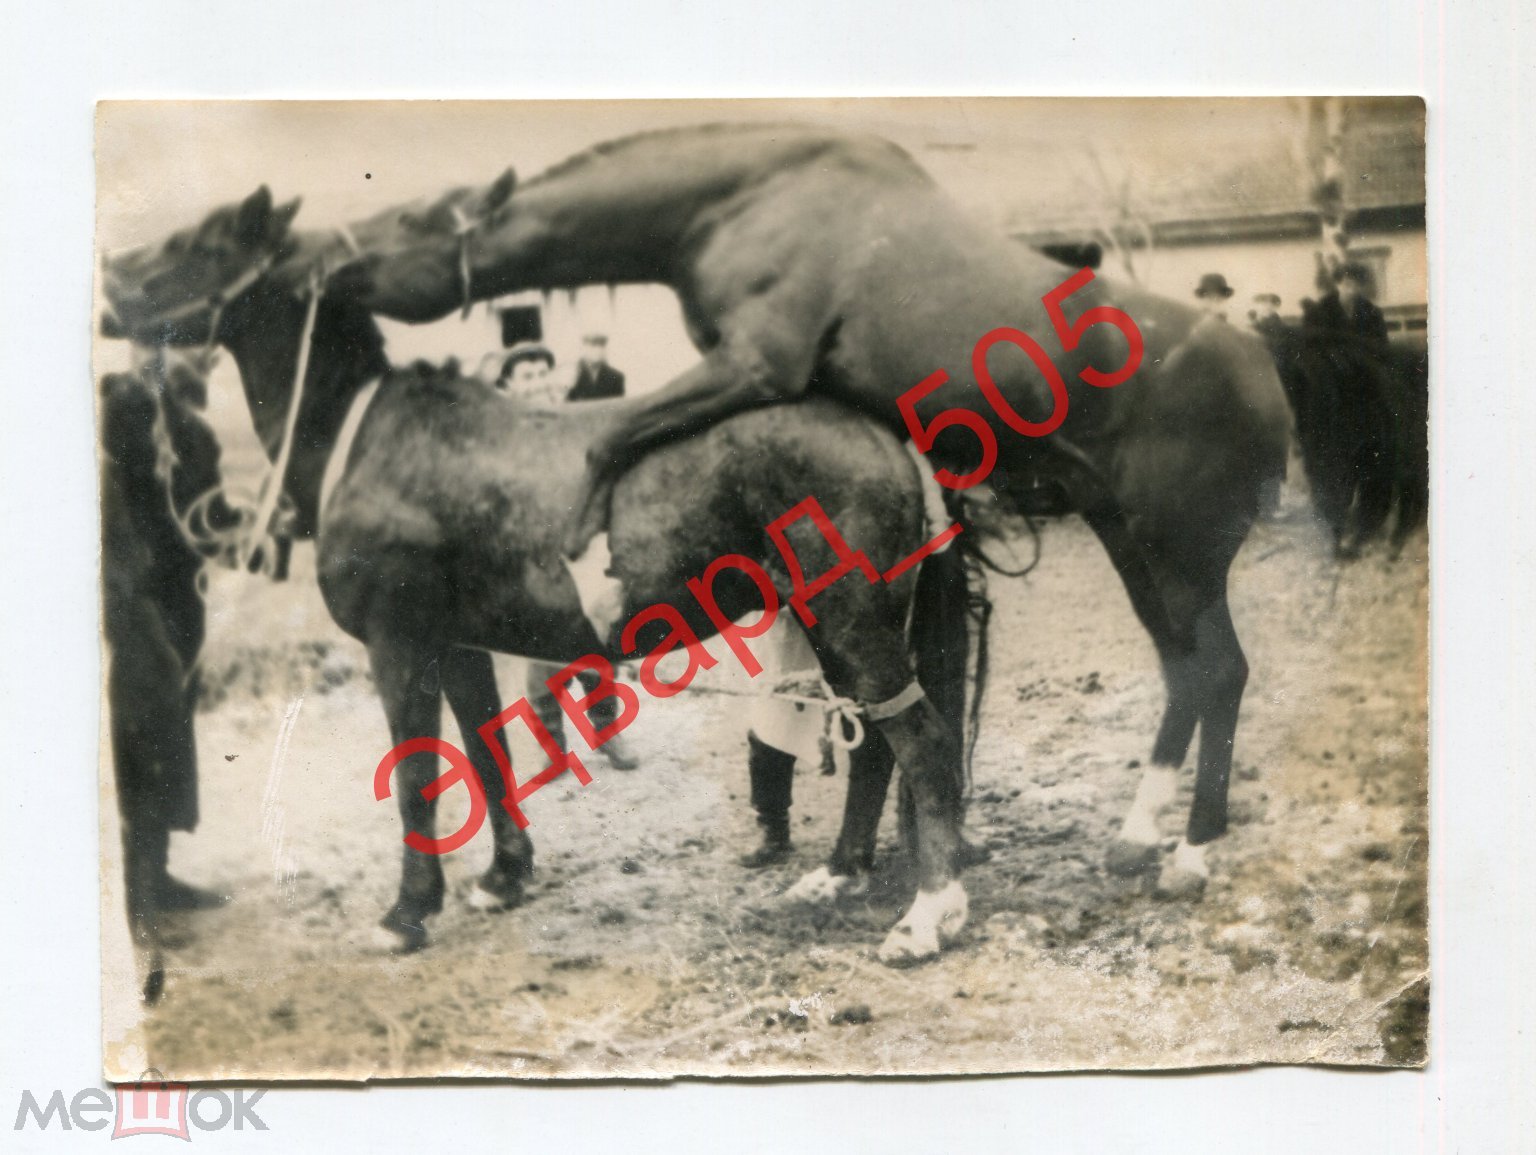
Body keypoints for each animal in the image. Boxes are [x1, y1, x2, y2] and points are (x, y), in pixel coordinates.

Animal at [102, 191, 976, 964]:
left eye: (199, 242)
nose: (108, 282)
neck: (369, 441)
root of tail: (888, 436)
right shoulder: (458, 643)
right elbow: (487, 754)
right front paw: (504, 875)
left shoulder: (399, 642)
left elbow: (417, 773)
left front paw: (407, 912)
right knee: (876, 745)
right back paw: (839, 872)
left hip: (852, 619)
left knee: (920, 740)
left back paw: (926, 916)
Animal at [324, 125, 1296, 896]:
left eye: (411, 221)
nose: (330, 265)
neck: (749, 198)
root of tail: (1262, 373)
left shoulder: (755, 364)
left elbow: (616, 436)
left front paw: (591, 558)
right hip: (1132, 547)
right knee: (1186, 674)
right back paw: (1139, 837)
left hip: (1183, 559)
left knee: (1221, 672)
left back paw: (1190, 852)